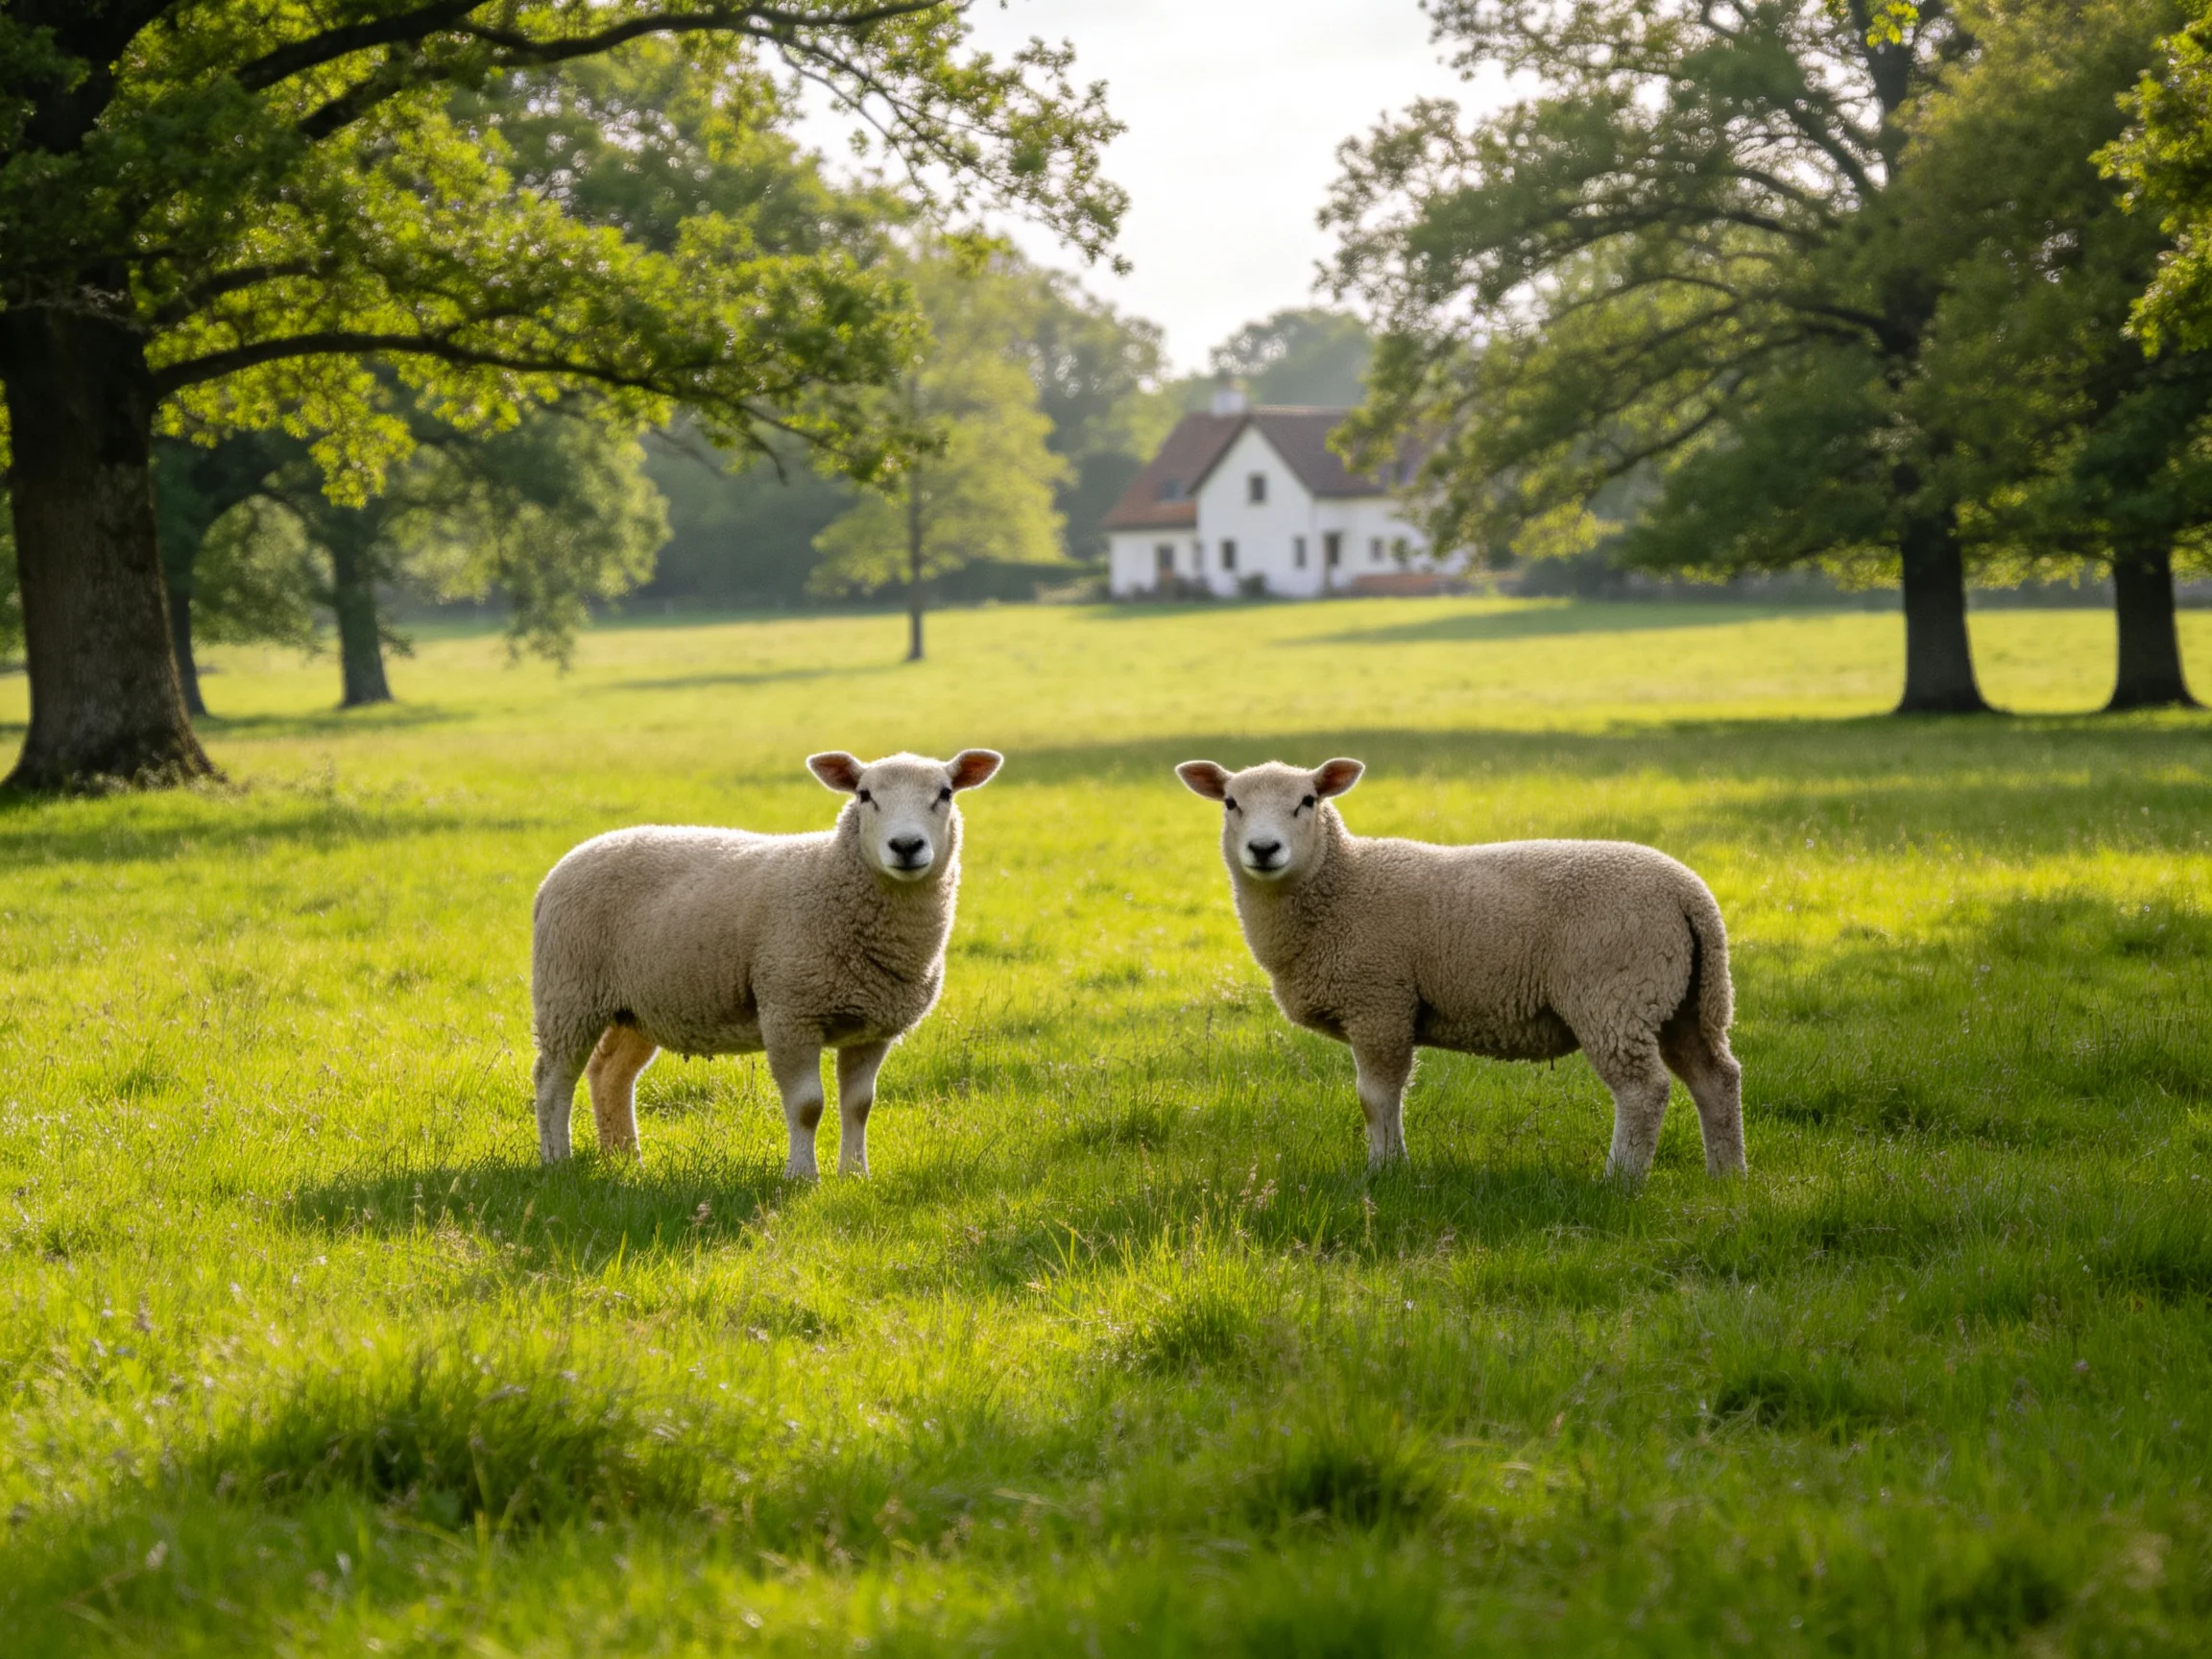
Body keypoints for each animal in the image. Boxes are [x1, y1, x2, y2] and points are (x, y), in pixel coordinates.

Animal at [529, 748, 1003, 1177]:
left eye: (945, 793)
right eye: (865, 795)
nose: (906, 846)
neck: (833, 878)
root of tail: (561, 867)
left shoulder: (872, 1028)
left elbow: (859, 1105)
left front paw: (854, 1175)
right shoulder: (789, 1012)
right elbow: (808, 1105)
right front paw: (802, 1176)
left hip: (637, 1005)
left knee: (610, 1074)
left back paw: (626, 1160)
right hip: (568, 992)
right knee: (553, 1079)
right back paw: (557, 1161)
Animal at [1174, 757, 1743, 1182]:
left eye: (1308, 801)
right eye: (1231, 803)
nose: (1263, 848)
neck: (1343, 883)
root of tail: (1689, 892)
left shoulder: (1379, 1001)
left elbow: (1375, 1097)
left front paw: (1386, 1171)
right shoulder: (1382, 1004)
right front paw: (1390, 1167)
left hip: (1615, 993)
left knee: (1644, 1091)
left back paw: (1619, 1181)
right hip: (1679, 998)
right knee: (1716, 1078)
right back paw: (1727, 1177)